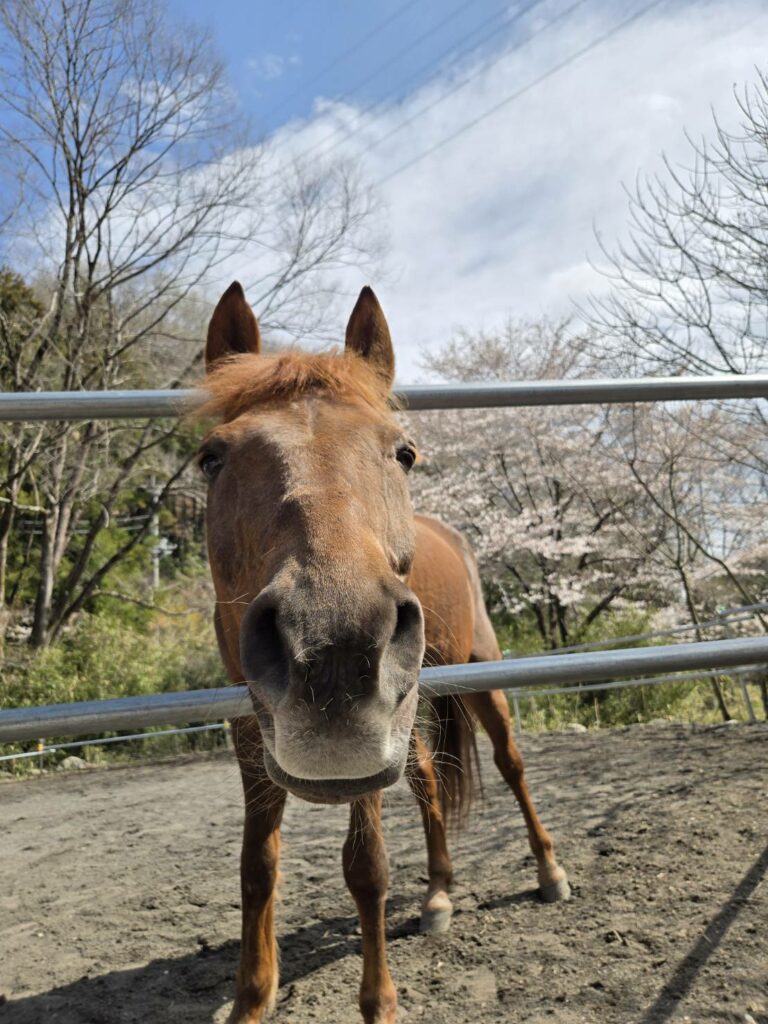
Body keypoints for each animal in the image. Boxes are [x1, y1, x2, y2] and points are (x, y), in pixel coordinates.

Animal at [199, 282, 570, 1024]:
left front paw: (380, 1003)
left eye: (404, 453)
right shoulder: (251, 734)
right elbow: (257, 866)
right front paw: (252, 998)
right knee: (428, 780)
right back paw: (439, 895)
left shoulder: (364, 754)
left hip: (477, 677)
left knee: (511, 764)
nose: (333, 646)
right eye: (211, 458)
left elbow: (365, 869)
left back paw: (548, 871)